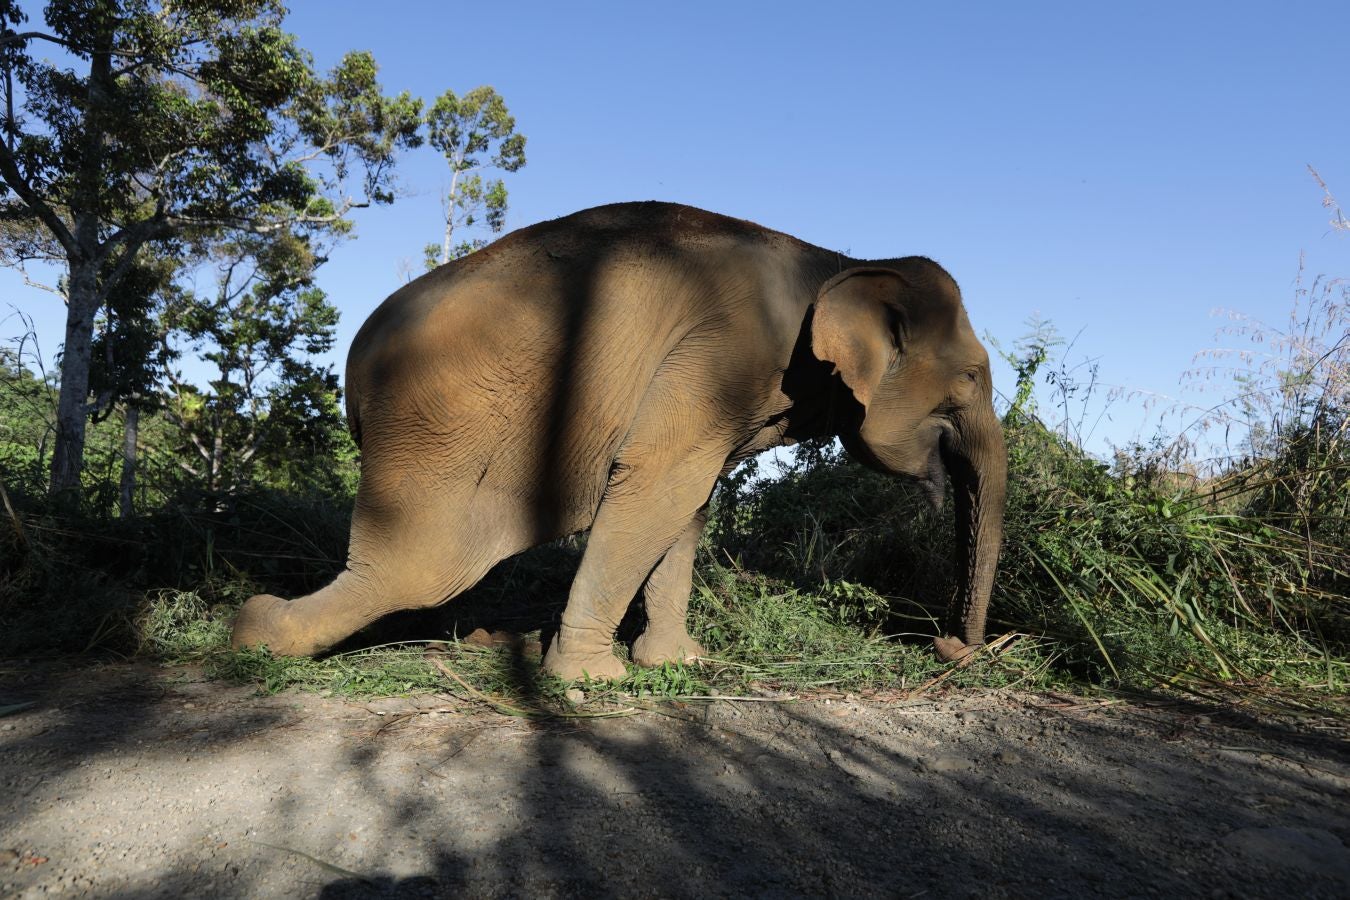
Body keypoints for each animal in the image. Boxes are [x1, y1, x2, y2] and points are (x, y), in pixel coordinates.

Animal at [232, 203, 1009, 680]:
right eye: (972, 376)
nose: (947, 646)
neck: (839, 261)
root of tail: (353, 360)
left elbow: (688, 502)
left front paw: (676, 664)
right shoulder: (723, 354)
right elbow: (659, 481)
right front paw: (591, 677)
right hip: (439, 426)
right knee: (420, 568)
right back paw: (255, 629)